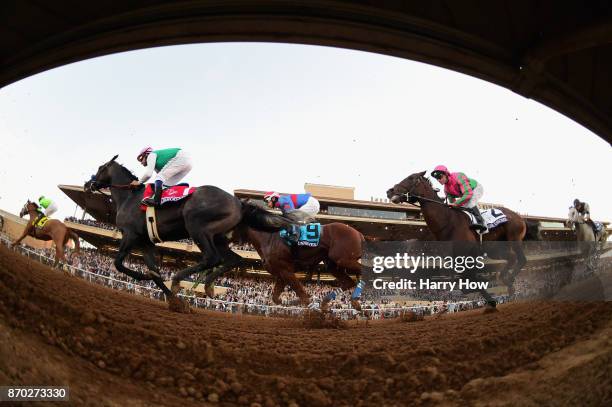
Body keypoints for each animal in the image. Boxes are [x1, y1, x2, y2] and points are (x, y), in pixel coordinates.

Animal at [388, 171, 536, 304]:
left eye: (411, 178)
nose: (389, 191)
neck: (448, 222)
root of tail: (518, 216)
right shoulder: (455, 260)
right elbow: (464, 282)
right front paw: (489, 296)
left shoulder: (469, 255)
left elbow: (471, 279)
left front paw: (487, 287)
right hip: (495, 249)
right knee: (511, 258)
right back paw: (507, 282)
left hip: (514, 238)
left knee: (521, 259)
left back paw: (508, 279)